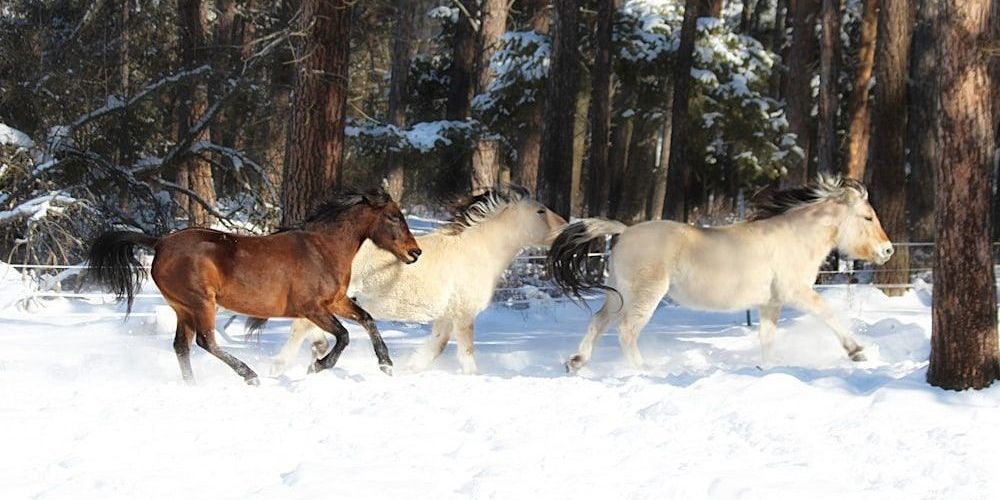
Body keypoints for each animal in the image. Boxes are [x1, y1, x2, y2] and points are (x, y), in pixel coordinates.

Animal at [87, 188, 422, 385]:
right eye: (393, 217)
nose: (415, 252)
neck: (323, 248)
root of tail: (160, 242)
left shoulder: (335, 301)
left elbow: (367, 319)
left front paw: (386, 364)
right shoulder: (312, 308)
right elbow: (344, 336)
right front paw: (317, 366)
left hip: (183, 308)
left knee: (182, 347)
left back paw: (194, 385)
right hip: (200, 303)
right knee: (206, 342)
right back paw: (250, 375)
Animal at [264, 186, 567, 375]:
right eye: (540, 211)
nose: (565, 227)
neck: (478, 251)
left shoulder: (446, 317)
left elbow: (435, 348)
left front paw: (407, 369)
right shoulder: (464, 314)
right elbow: (466, 355)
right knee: (299, 329)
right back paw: (285, 365)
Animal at [547, 175, 893, 372]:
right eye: (867, 217)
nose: (887, 250)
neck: (794, 238)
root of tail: (625, 231)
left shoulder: (771, 303)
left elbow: (767, 338)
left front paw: (767, 367)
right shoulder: (796, 293)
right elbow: (829, 313)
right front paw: (857, 352)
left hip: (620, 295)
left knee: (599, 322)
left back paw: (576, 363)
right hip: (645, 296)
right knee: (626, 331)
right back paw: (644, 370)